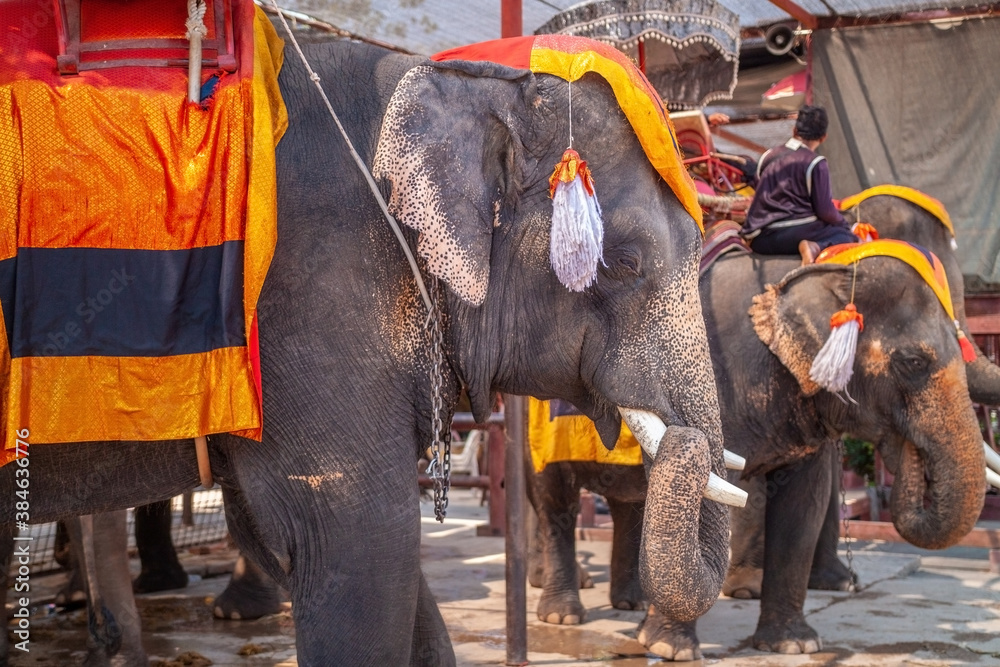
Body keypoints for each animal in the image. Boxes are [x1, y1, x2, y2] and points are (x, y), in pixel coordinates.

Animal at [528, 242, 986, 659]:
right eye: (913, 362)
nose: (907, 449)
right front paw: (670, 649)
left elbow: (805, 505)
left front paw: (794, 645)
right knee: (554, 501)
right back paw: (563, 615)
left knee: (626, 503)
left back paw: (632, 603)